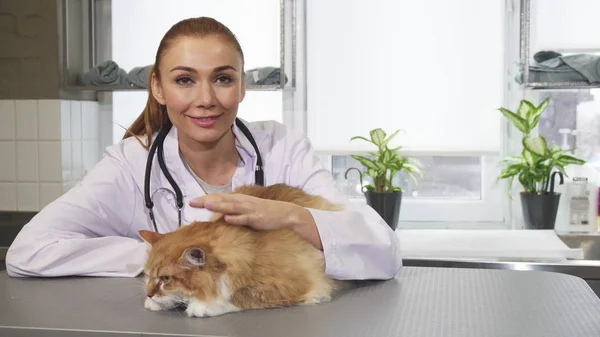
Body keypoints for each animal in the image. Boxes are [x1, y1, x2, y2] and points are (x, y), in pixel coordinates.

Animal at [137, 182, 342, 316]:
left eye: (165, 278)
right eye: (148, 275)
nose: (148, 293)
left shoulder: (286, 284)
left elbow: (239, 296)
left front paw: (203, 306)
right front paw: (154, 302)